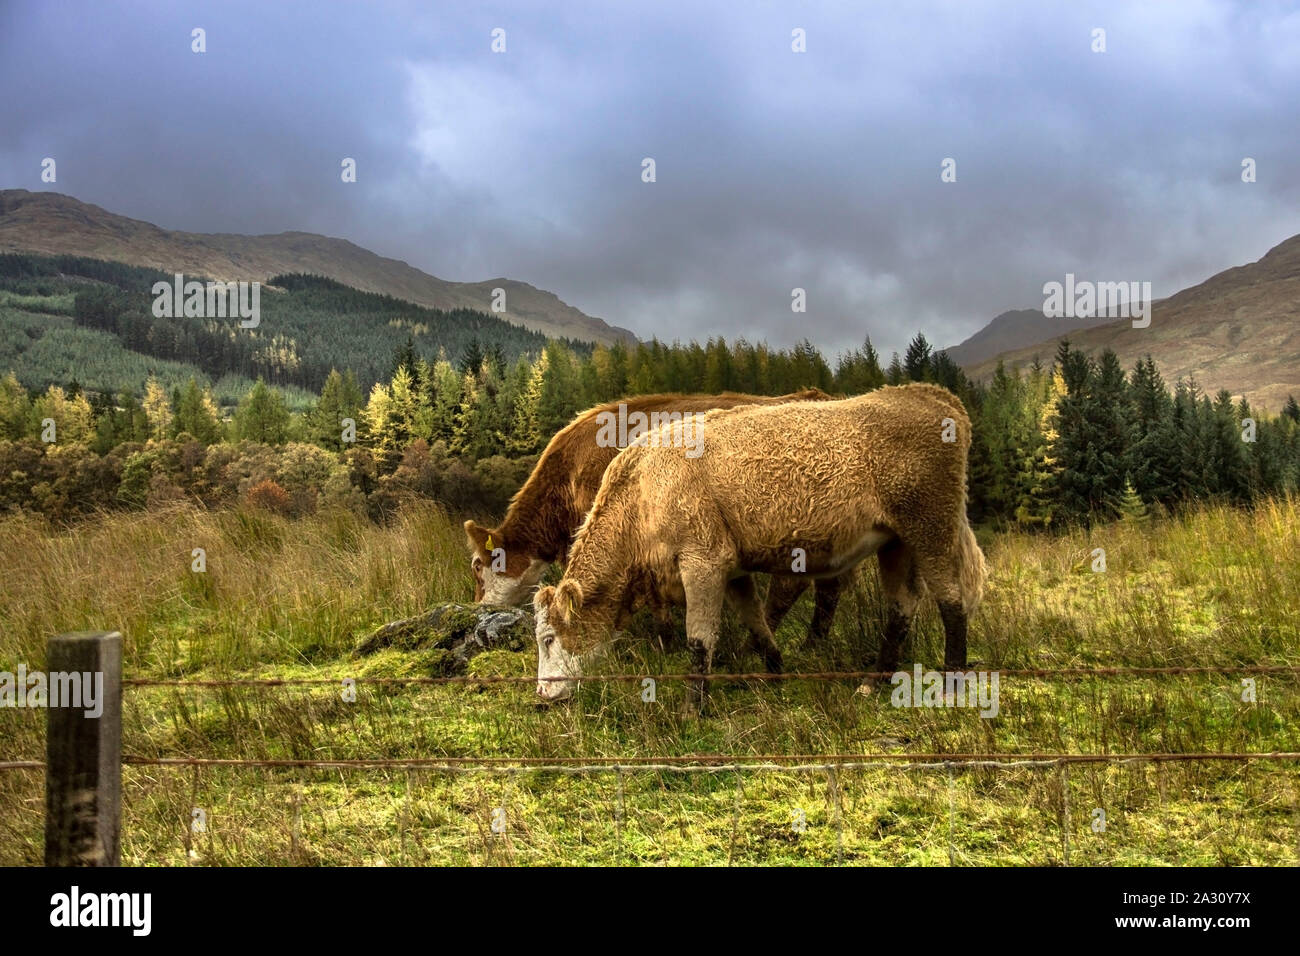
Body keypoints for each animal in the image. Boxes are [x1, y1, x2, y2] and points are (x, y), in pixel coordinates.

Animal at [465, 390, 842, 642]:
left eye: (478, 568)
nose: (476, 609)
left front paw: (662, 639)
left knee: (791, 585)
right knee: (829, 585)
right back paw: (815, 642)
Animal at [527, 382, 982, 712]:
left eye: (548, 638)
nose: (542, 695)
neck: (643, 489)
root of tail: (927, 392)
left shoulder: (702, 563)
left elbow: (700, 636)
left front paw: (694, 707)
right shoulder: (734, 570)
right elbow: (756, 622)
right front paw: (774, 671)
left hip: (931, 529)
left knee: (951, 600)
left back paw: (951, 683)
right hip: (897, 543)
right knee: (902, 605)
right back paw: (874, 681)